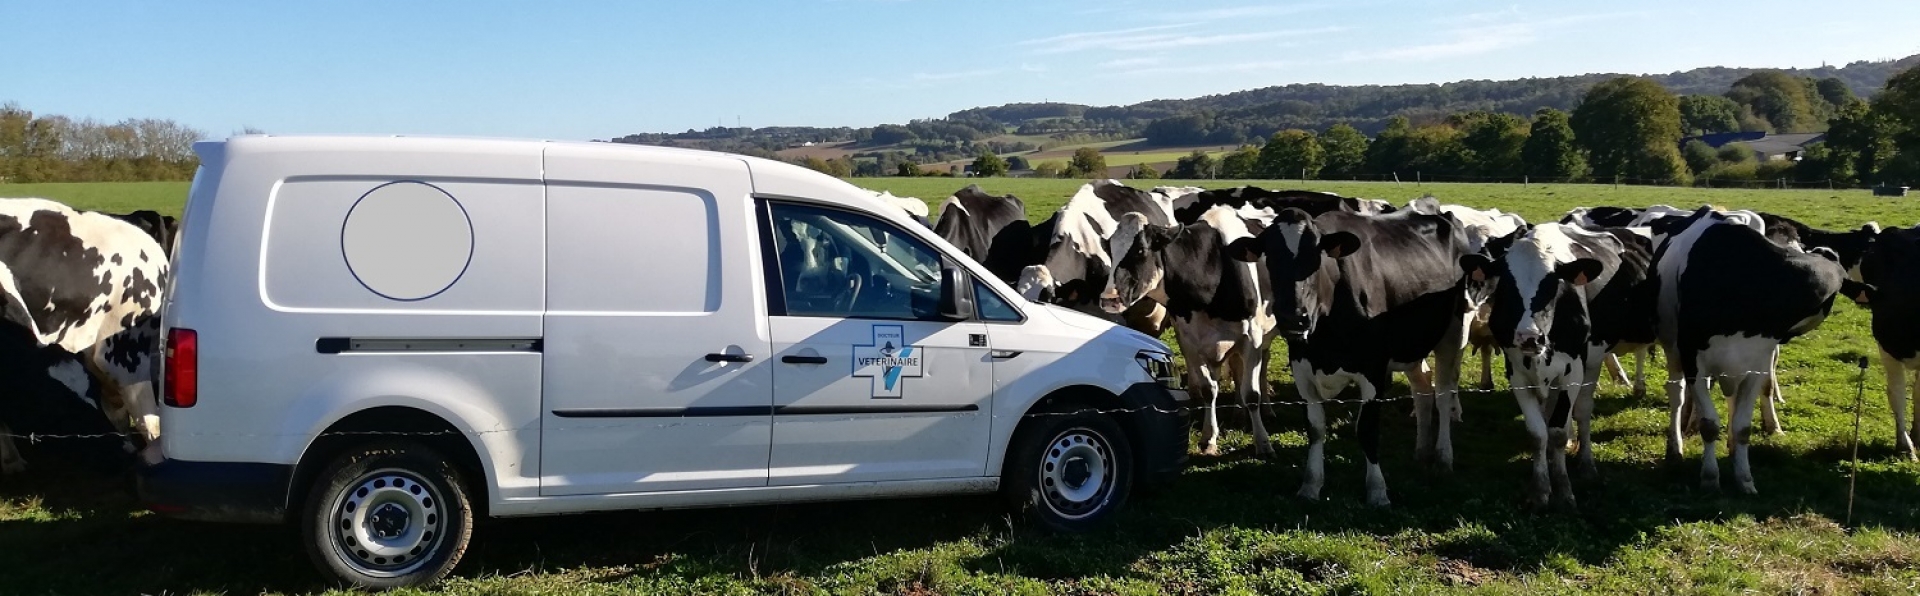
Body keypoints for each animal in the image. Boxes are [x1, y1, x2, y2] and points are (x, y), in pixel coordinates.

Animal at [1098, 207, 1274, 453]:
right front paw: (1209, 438)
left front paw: (1263, 442)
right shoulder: (1190, 341)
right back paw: (1238, 413)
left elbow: (1251, 394)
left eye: (1141, 250)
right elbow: (1209, 389)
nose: (1109, 299)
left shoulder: (1252, 339)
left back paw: (1267, 408)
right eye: (1110, 250)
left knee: (1262, 366)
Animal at [1228, 207, 1466, 503]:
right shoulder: (1302, 368)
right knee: (1423, 387)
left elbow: (1366, 430)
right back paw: (1422, 451)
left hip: (1453, 333)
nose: (1294, 317)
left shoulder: (1374, 368)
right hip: (1411, 341)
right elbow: (1315, 429)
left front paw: (1377, 491)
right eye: (1269, 258)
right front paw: (1311, 485)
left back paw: (1444, 457)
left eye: (1316, 257)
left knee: (1444, 394)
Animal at [1459, 223, 1658, 507]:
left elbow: (1557, 432)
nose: (1529, 336)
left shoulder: (1572, 372)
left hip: (1592, 362)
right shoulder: (1517, 373)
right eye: (1507, 285)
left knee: (1583, 411)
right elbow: (1538, 432)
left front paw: (1563, 489)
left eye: (1553, 284)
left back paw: (1586, 463)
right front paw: (1540, 489)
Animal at [1651, 205, 1858, 492]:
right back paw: (1675, 448)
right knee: (1677, 395)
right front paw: (1710, 478)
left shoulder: (1755, 366)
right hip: (1673, 349)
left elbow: (1743, 427)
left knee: (1730, 400)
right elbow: (1709, 424)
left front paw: (1744, 478)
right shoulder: (1694, 362)